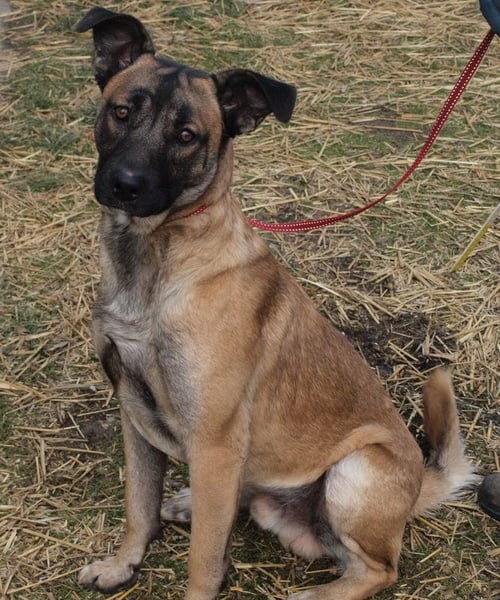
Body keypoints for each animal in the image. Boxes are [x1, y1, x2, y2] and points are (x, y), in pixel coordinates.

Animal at [75, 7, 476, 600]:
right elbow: (139, 507)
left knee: (380, 570)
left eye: (187, 136)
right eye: (121, 111)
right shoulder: (134, 413)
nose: (125, 185)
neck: (153, 260)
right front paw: (123, 564)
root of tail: (415, 488)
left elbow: (202, 561)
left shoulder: (215, 440)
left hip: (354, 471)